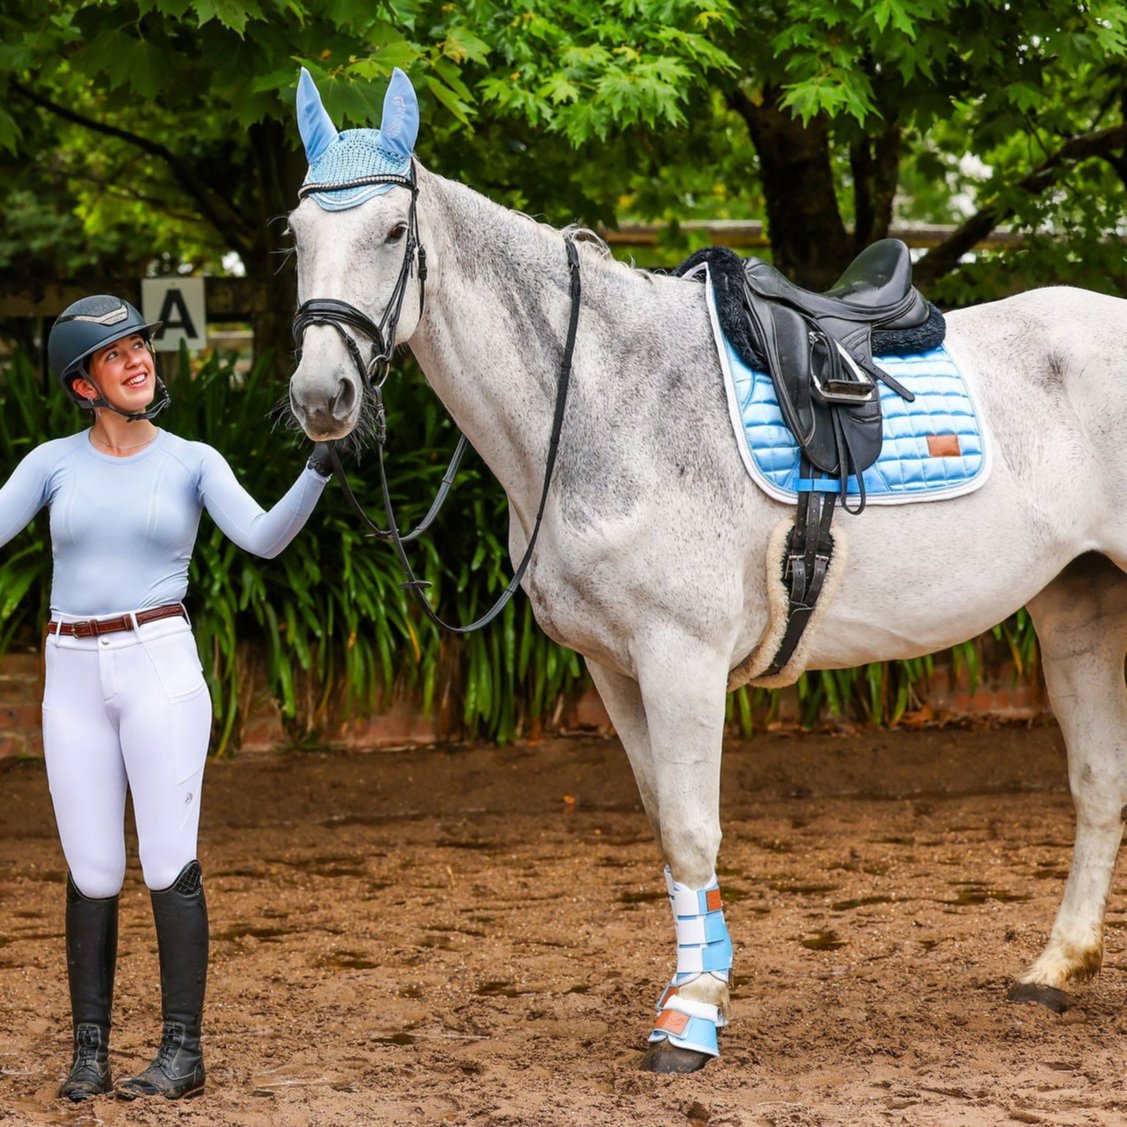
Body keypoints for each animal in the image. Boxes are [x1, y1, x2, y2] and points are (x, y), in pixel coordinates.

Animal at [284, 70, 1127, 1072]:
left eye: (391, 232)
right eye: (296, 235)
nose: (320, 396)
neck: (603, 396)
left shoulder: (678, 658)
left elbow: (691, 834)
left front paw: (689, 1017)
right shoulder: (613, 669)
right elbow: (664, 830)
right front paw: (696, 989)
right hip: (1076, 606)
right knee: (1098, 781)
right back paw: (1054, 968)